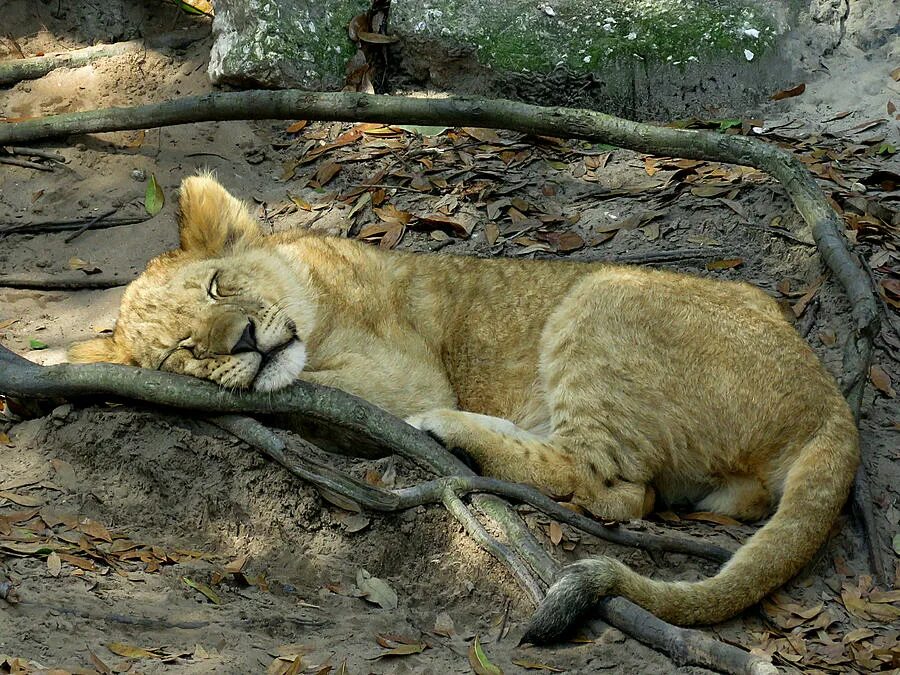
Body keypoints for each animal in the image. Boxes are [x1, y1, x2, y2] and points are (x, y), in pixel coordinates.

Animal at [70, 174, 856, 644]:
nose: (240, 341)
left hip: (599, 296)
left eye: (216, 287)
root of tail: (828, 403)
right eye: (180, 352)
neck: (311, 288)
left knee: (615, 488)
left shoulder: (406, 375)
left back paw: (452, 435)